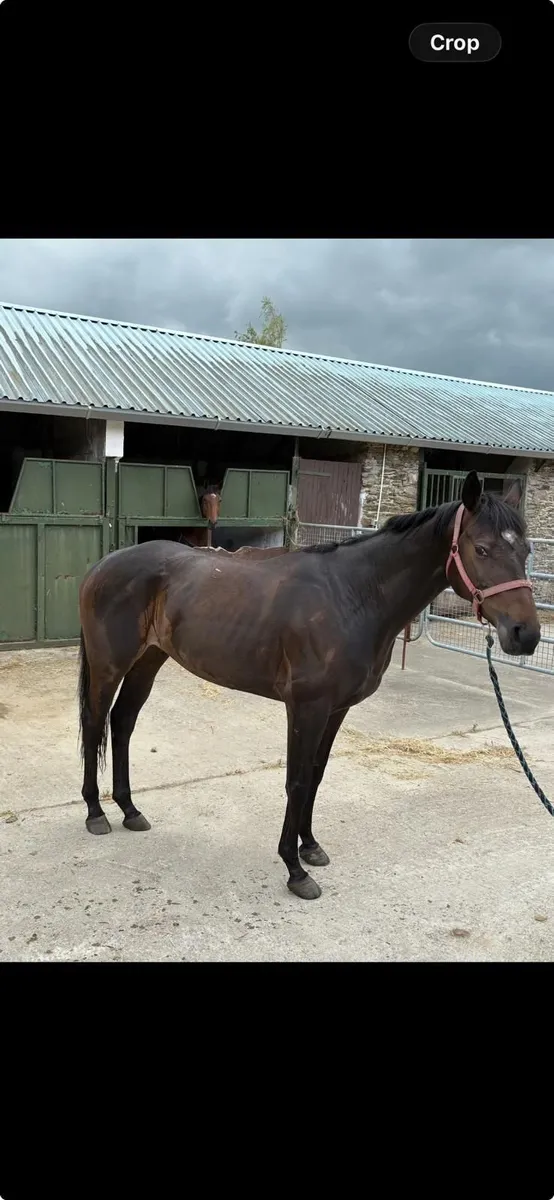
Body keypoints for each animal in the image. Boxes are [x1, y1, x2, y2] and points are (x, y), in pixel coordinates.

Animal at [77, 471, 540, 901]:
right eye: (481, 549)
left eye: (525, 550)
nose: (526, 635)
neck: (353, 596)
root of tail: (102, 565)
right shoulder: (306, 707)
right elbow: (296, 781)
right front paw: (294, 870)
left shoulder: (336, 709)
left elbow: (316, 776)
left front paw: (311, 846)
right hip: (109, 665)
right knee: (96, 723)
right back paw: (96, 813)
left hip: (149, 661)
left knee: (122, 723)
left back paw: (130, 809)